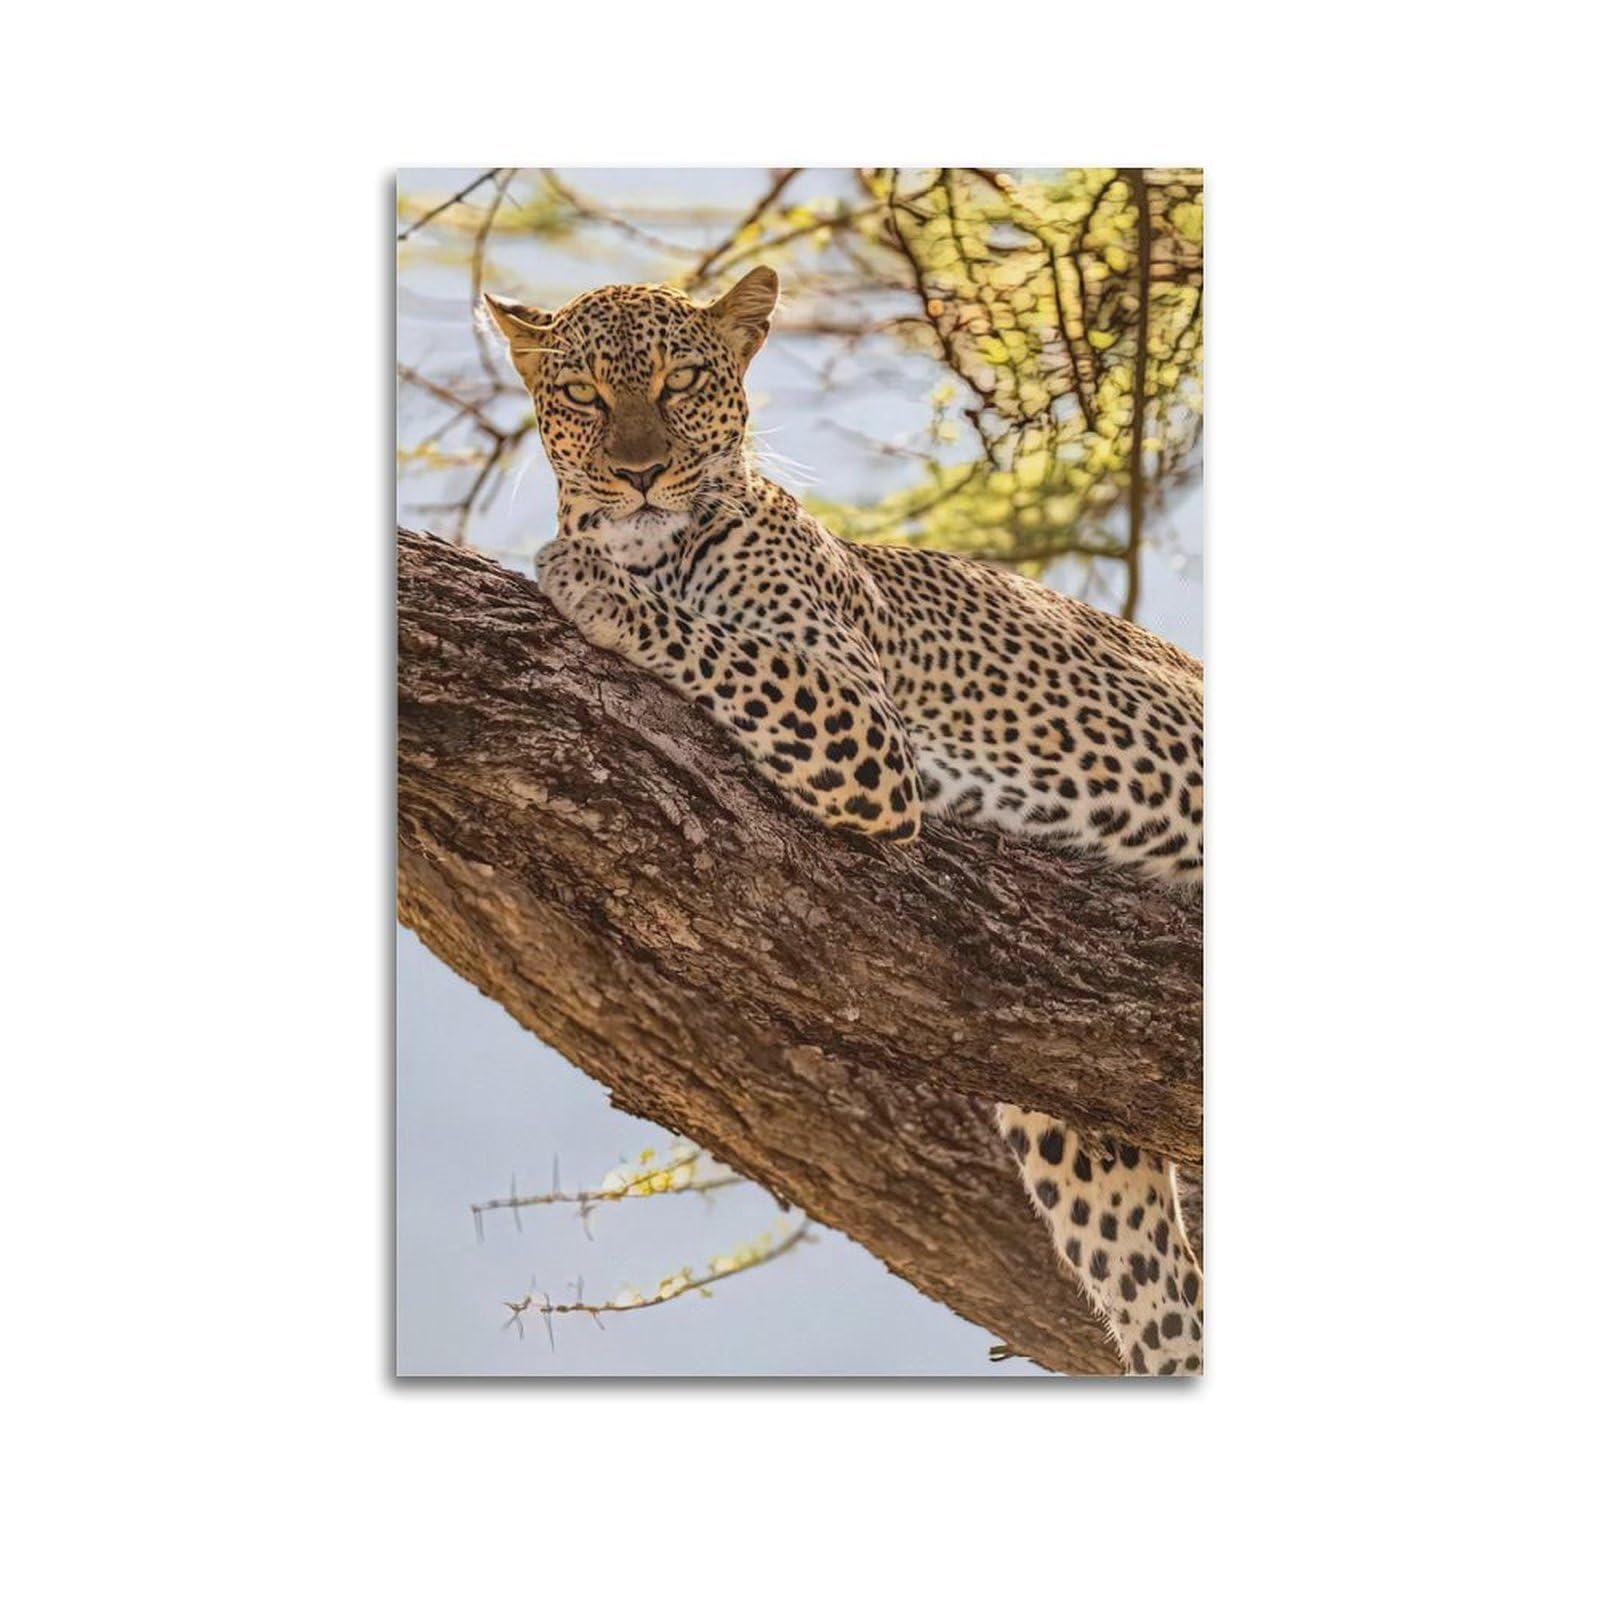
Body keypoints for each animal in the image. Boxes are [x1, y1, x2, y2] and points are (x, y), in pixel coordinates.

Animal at [482, 267, 1204, 1375]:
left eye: (681, 382)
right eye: (584, 396)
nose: (639, 476)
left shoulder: (859, 722)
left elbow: (718, 643)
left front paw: (580, 575)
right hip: (1080, 1125)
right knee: (1164, 1304)